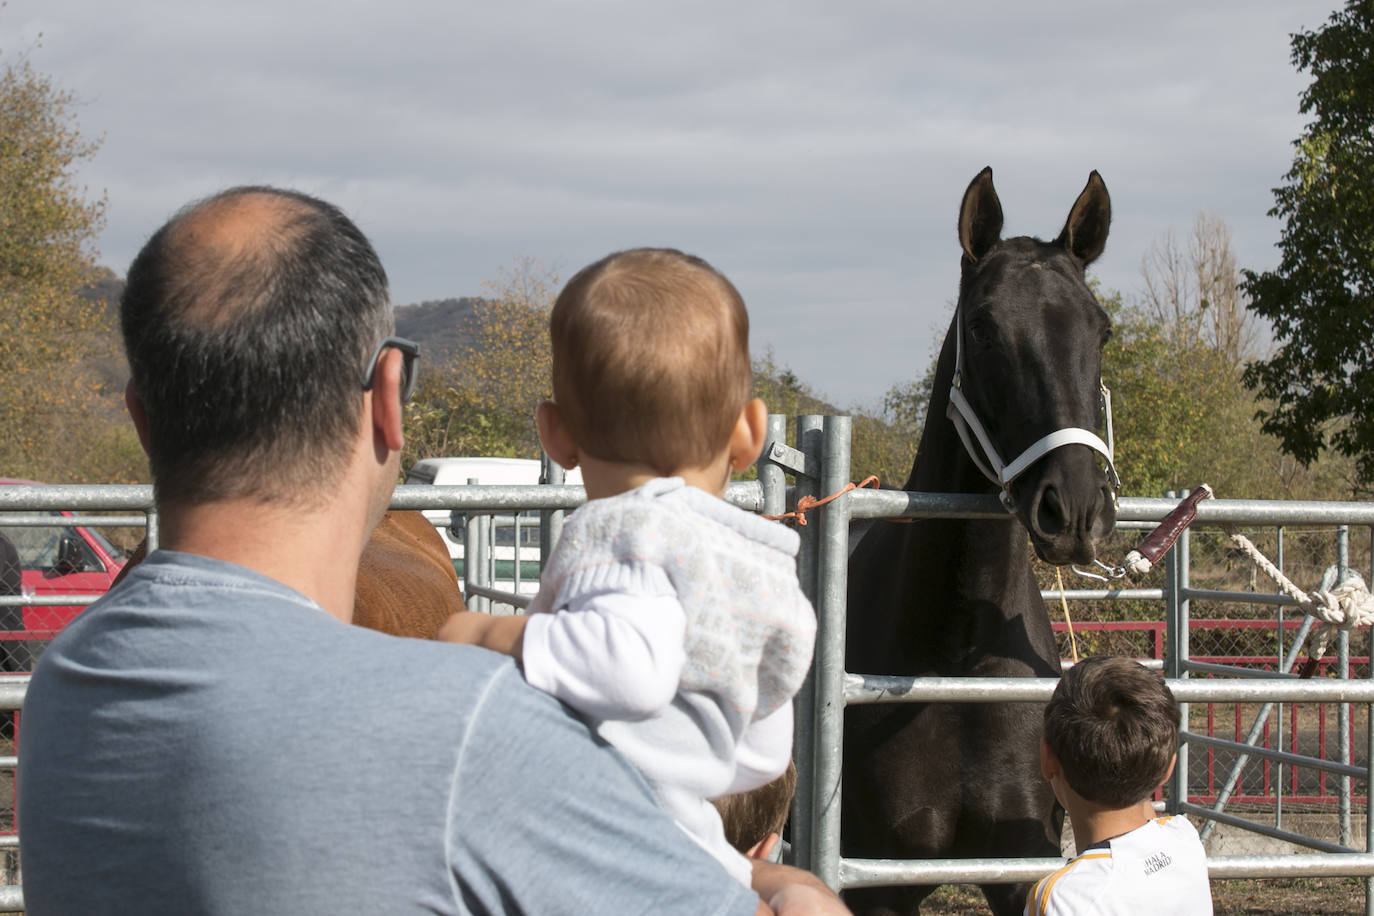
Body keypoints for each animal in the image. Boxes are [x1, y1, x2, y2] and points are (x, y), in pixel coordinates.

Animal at [840, 168, 1121, 911]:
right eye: (983, 327)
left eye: (1102, 330)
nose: (1074, 510)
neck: (957, 656)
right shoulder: (877, 885)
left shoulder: (1019, 868)